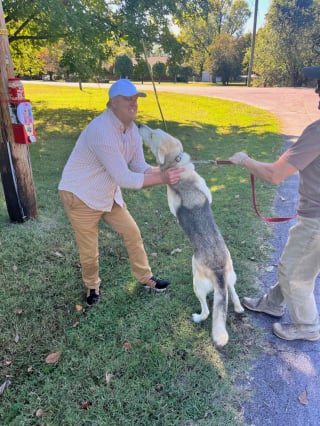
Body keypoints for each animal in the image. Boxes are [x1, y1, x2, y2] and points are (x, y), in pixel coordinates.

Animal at [139, 125, 244, 348]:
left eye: (152, 134)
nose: (139, 125)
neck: (175, 163)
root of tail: (218, 271)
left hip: (198, 284)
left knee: (206, 312)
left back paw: (198, 317)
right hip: (227, 276)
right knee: (232, 294)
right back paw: (236, 307)